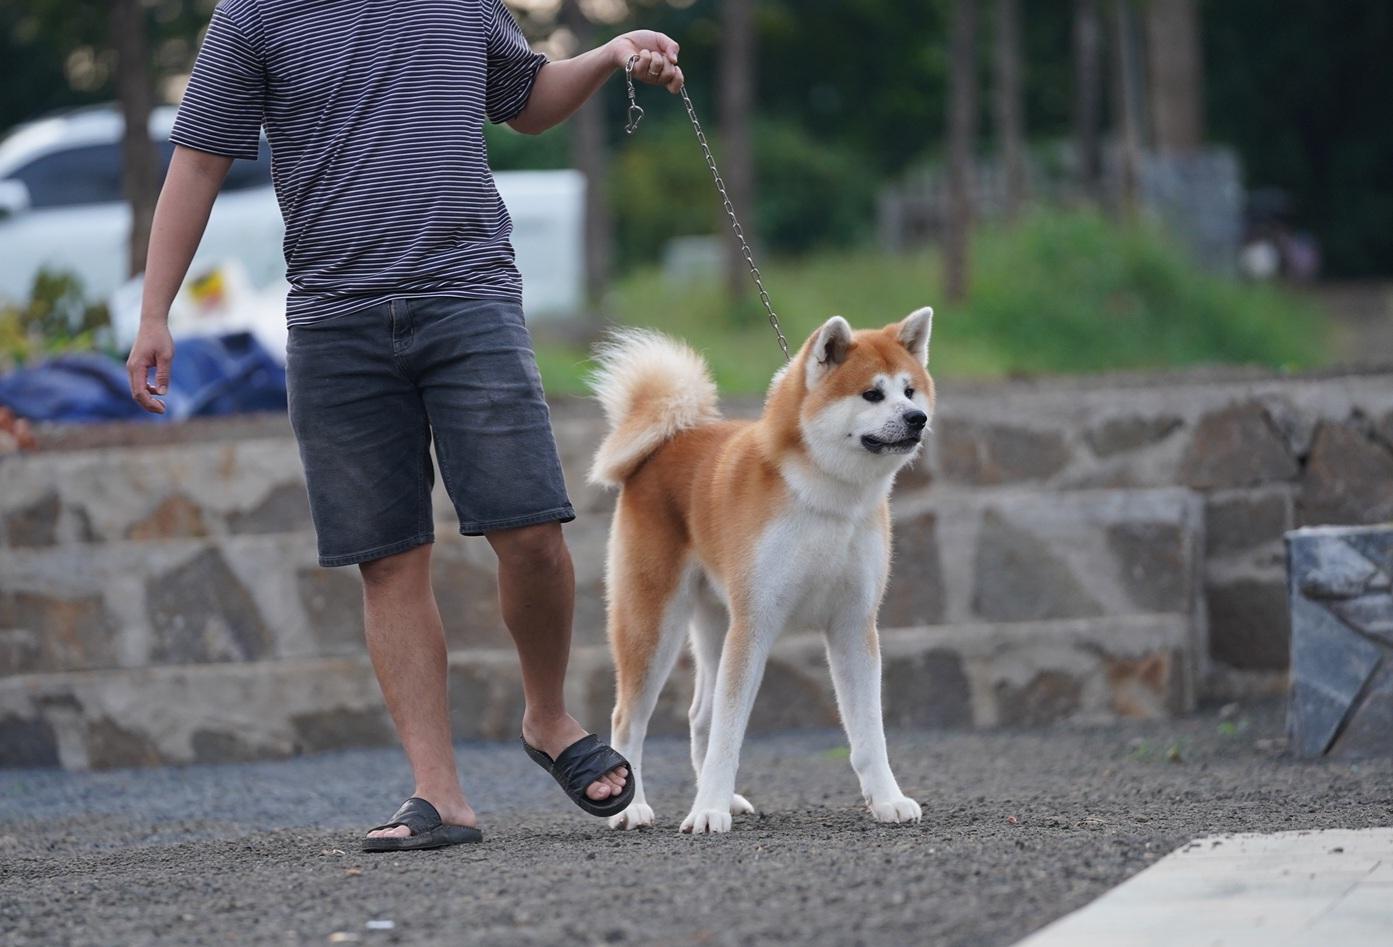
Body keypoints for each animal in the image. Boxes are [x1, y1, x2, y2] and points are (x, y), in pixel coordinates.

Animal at [587, 306, 936, 830]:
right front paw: (707, 812)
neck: (827, 499)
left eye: (910, 391)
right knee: (628, 719)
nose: (918, 418)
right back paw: (633, 808)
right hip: (652, 624)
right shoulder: (755, 623)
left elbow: (869, 734)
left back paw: (723, 797)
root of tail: (668, 441)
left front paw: (888, 799)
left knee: (700, 716)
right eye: (872, 394)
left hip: (715, 624)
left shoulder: (854, 624)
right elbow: (729, 734)